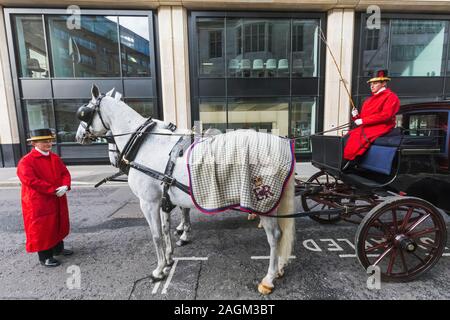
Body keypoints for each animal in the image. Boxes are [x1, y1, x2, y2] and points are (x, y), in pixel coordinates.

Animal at [76, 85, 296, 296]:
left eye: (84, 113)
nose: (78, 136)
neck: (144, 143)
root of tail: (281, 144)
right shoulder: (164, 198)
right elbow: (166, 229)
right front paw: (169, 258)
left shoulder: (148, 202)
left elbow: (156, 235)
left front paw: (159, 269)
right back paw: (279, 267)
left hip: (263, 203)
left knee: (275, 236)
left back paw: (269, 277)